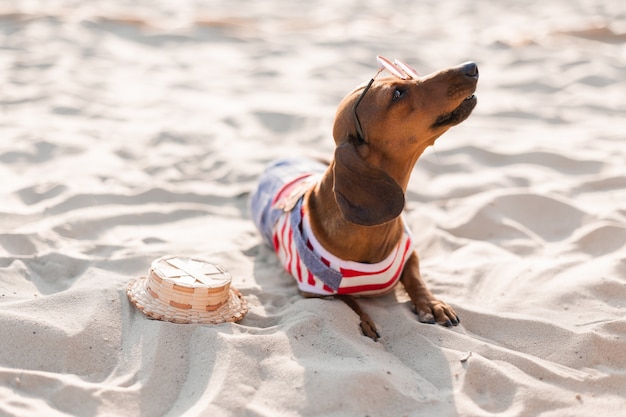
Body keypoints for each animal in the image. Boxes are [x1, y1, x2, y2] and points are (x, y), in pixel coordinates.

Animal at [251, 57, 476, 340]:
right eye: (397, 94)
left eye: (410, 76)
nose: (471, 66)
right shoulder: (313, 290)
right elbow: (347, 300)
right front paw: (365, 319)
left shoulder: (409, 251)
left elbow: (414, 276)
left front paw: (431, 303)